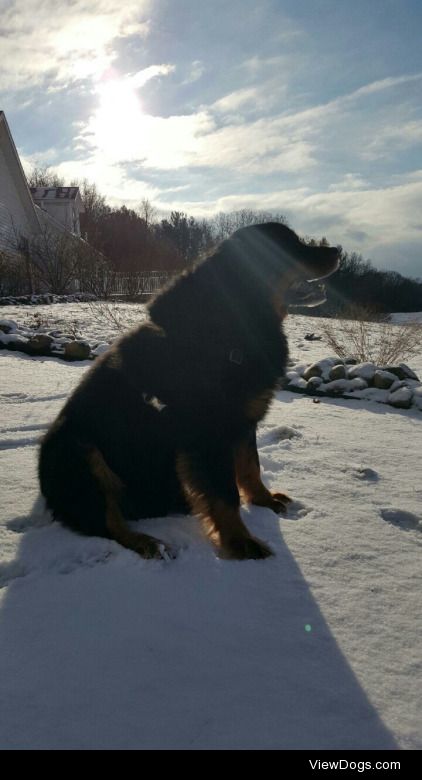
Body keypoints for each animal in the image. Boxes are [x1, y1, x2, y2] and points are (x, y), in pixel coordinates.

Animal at [38, 222, 338, 556]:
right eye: (290, 244)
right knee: (105, 522)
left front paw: (263, 500)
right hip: (77, 449)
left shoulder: (242, 422)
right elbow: (225, 493)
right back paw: (147, 543)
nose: (338, 250)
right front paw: (241, 544)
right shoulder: (209, 434)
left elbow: (251, 466)